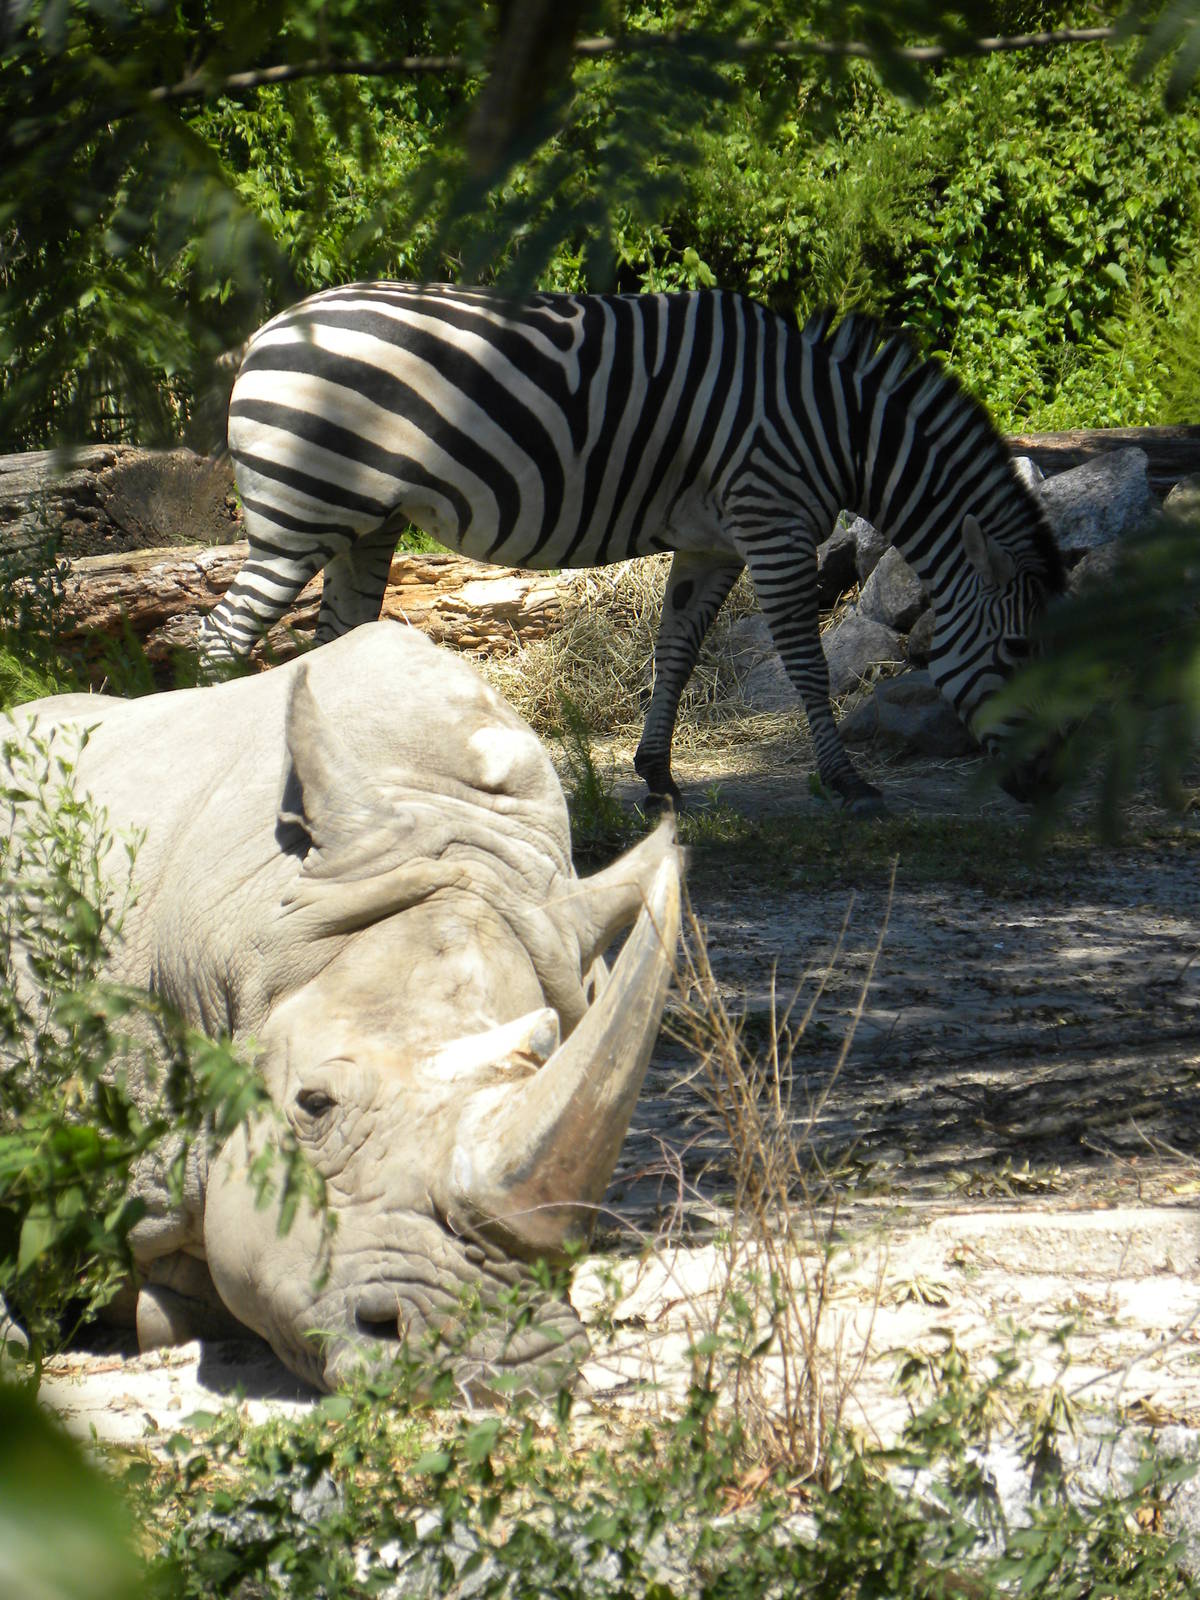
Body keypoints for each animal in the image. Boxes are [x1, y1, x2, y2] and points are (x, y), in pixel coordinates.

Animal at [201, 282, 1066, 807]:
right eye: (1021, 649)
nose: (1046, 784)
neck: (840, 428)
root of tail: (268, 329)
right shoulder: (774, 522)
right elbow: (805, 662)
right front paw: (846, 781)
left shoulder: (716, 543)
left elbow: (676, 649)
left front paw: (657, 776)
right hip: (298, 519)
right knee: (219, 639)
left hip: (364, 525)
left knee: (327, 646)